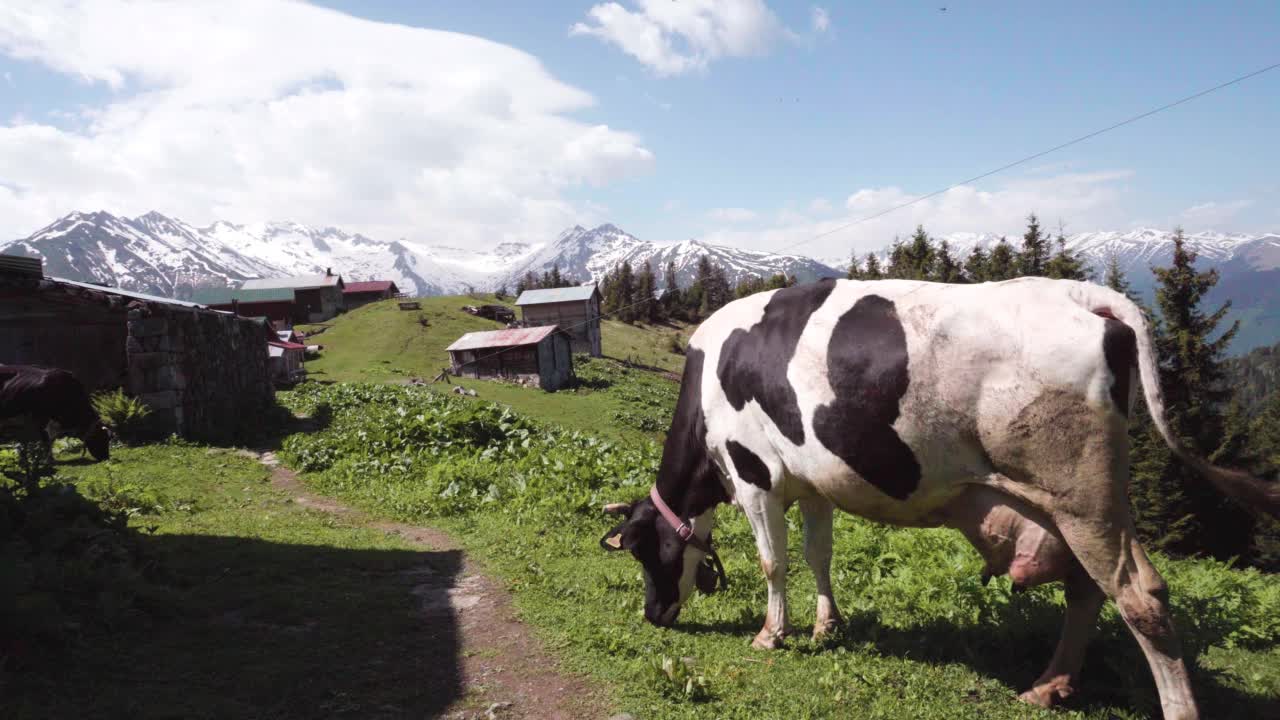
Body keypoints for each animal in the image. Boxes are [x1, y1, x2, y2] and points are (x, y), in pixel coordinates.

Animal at [599, 275, 1280, 717]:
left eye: (642, 550)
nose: (652, 615)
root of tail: (1082, 292)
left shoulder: (755, 475)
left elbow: (775, 561)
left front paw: (773, 633)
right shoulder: (814, 481)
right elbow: (820, 555)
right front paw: (825, 627)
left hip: (1083, 495)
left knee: (1140, 597)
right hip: (1078, 506)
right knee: (1088, 592)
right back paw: (1049, 686)